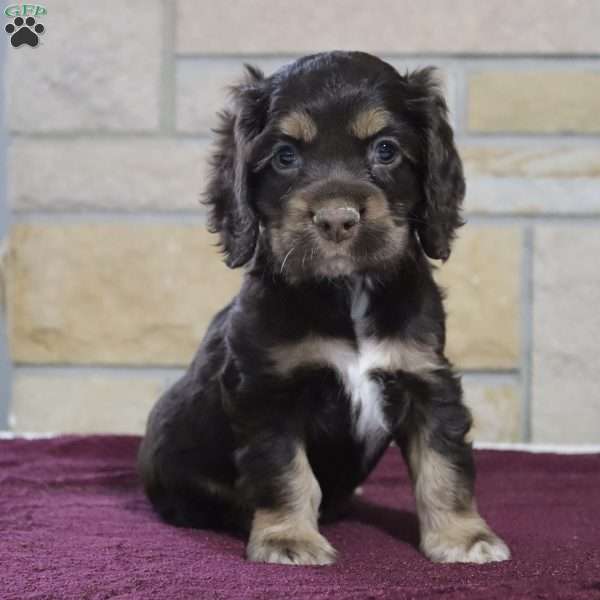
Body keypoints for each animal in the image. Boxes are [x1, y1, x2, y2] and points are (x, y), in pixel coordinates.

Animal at [138, 51, 508, 568]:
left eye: (386, 150)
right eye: (285, 155)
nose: (336, 219)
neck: (346, 290)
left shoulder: (427, 379)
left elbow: (444, 465)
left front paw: (464, 537)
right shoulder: (268, 392)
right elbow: (286, 472)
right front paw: (287, 539)